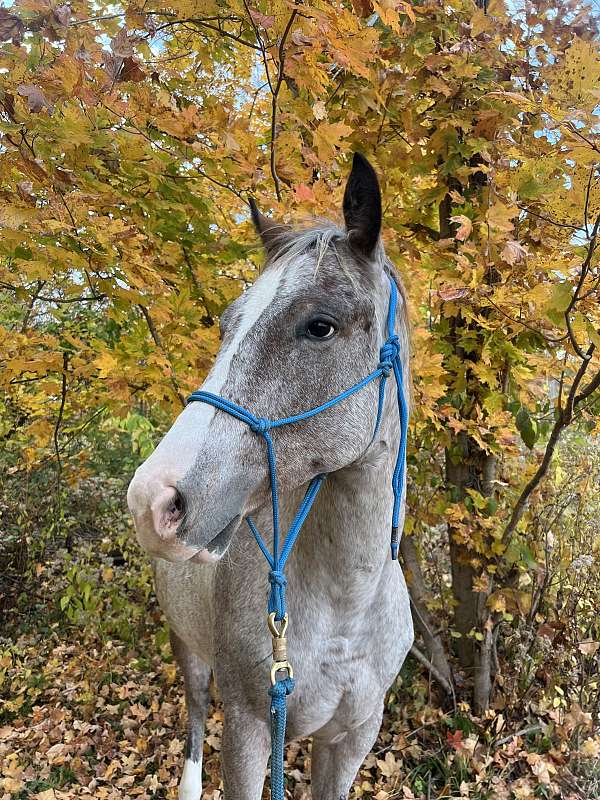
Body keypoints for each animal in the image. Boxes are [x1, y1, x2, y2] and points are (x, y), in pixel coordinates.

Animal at [127, 153, 412, 796]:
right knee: (194, 716)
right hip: (188, 649)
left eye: (320, 326)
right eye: (227, 324)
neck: (347, 607)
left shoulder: (351, 740)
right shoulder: (251, 727)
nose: (153, 499)